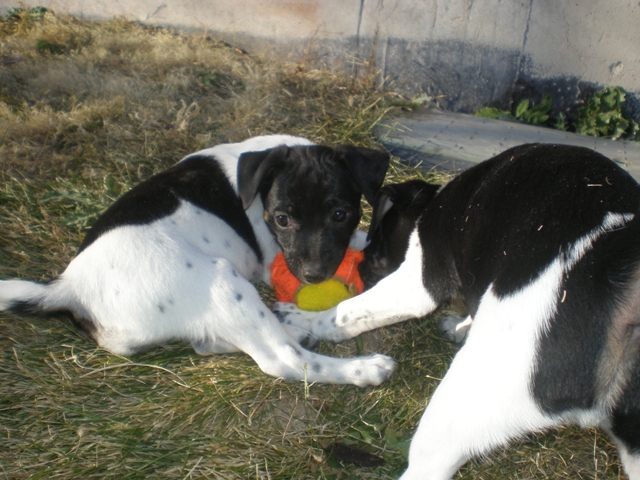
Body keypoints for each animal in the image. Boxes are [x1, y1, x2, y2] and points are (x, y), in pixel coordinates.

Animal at [0, 134, 396, 386]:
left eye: (340, 214)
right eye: (282, 219)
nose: (314, 276)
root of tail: (69, 287)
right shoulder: (274, 258)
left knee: (208, 342)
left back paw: (297, 330)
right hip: (223, 281)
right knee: (283, 360)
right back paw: (363, 370)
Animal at [278, 142, 640, 480]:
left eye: (375, 246)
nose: (362, 267)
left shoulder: (417, 285)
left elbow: (346, 313)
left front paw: (299, 319)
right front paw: (461, 324)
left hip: (465, 399)